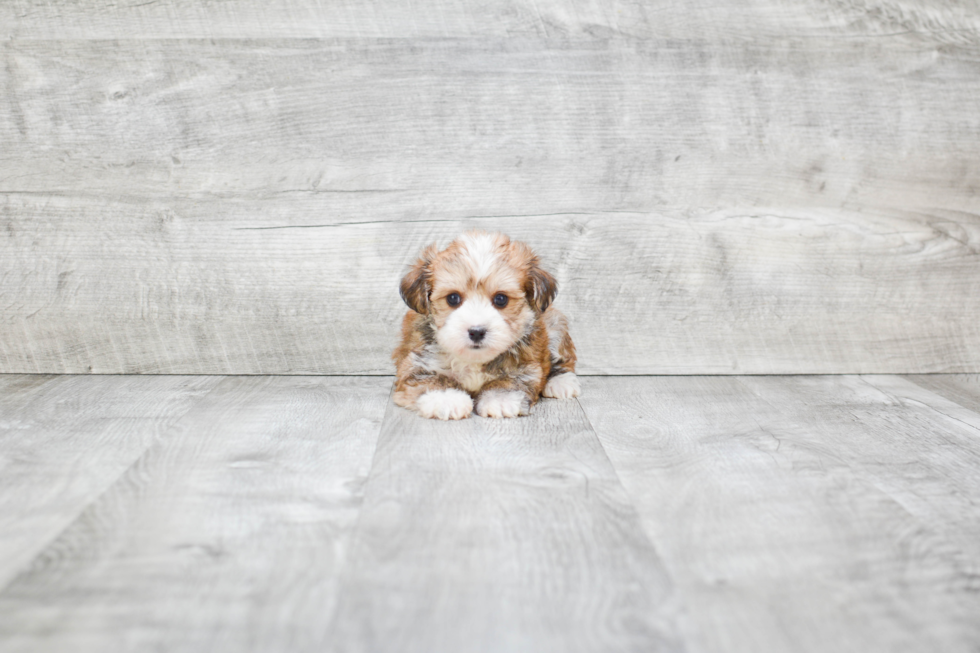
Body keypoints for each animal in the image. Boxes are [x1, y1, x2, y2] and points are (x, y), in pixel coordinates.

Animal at [392, 232, 580, 420]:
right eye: (452, 298)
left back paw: (561, 382)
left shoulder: (527, 364)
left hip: (555, 324)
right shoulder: (417, 361)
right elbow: (427, 380)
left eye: (501, 299)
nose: (476, 332)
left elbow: (513, 380)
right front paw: (447, 399)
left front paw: (500, 399)